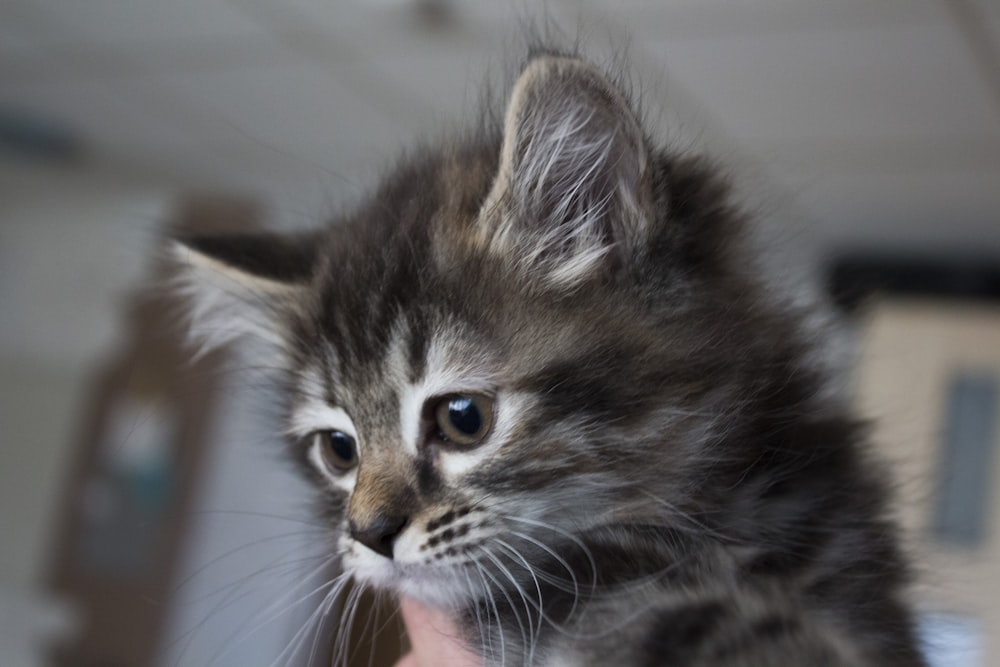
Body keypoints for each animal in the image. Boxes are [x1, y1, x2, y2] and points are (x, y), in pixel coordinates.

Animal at [174, 49, 928, 664]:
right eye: (338, 450)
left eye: (463, 418)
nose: (368, 532)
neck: (736, 514)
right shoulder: (572, 597)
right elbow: (686, 621)